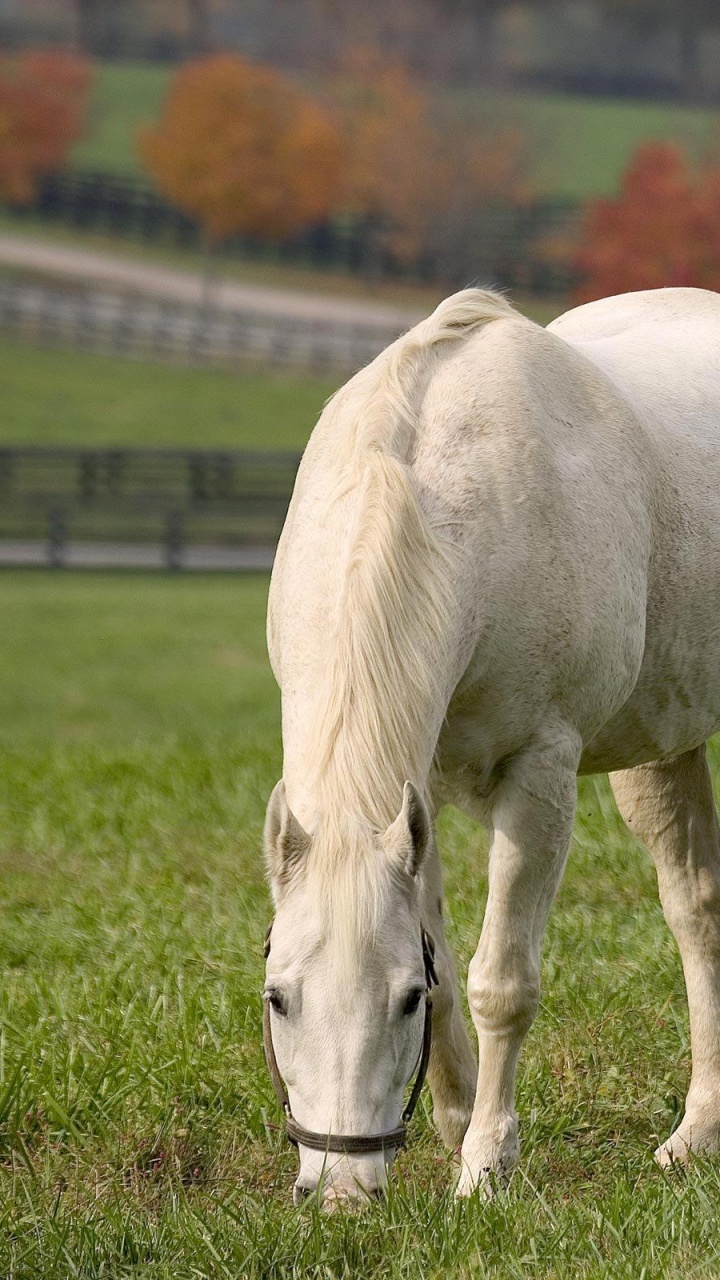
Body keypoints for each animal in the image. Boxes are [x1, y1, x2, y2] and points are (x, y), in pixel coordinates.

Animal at [263, 286, 720, 1206]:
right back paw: (697, 1136)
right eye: (277, 999)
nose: (340, 1191)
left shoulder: (540, 774)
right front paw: (452, 1124)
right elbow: (445, 952)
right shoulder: (419, 792)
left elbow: (499, 981)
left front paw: (485, 1165)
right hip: (663, 748)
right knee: (696, 910)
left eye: (401, 1000)